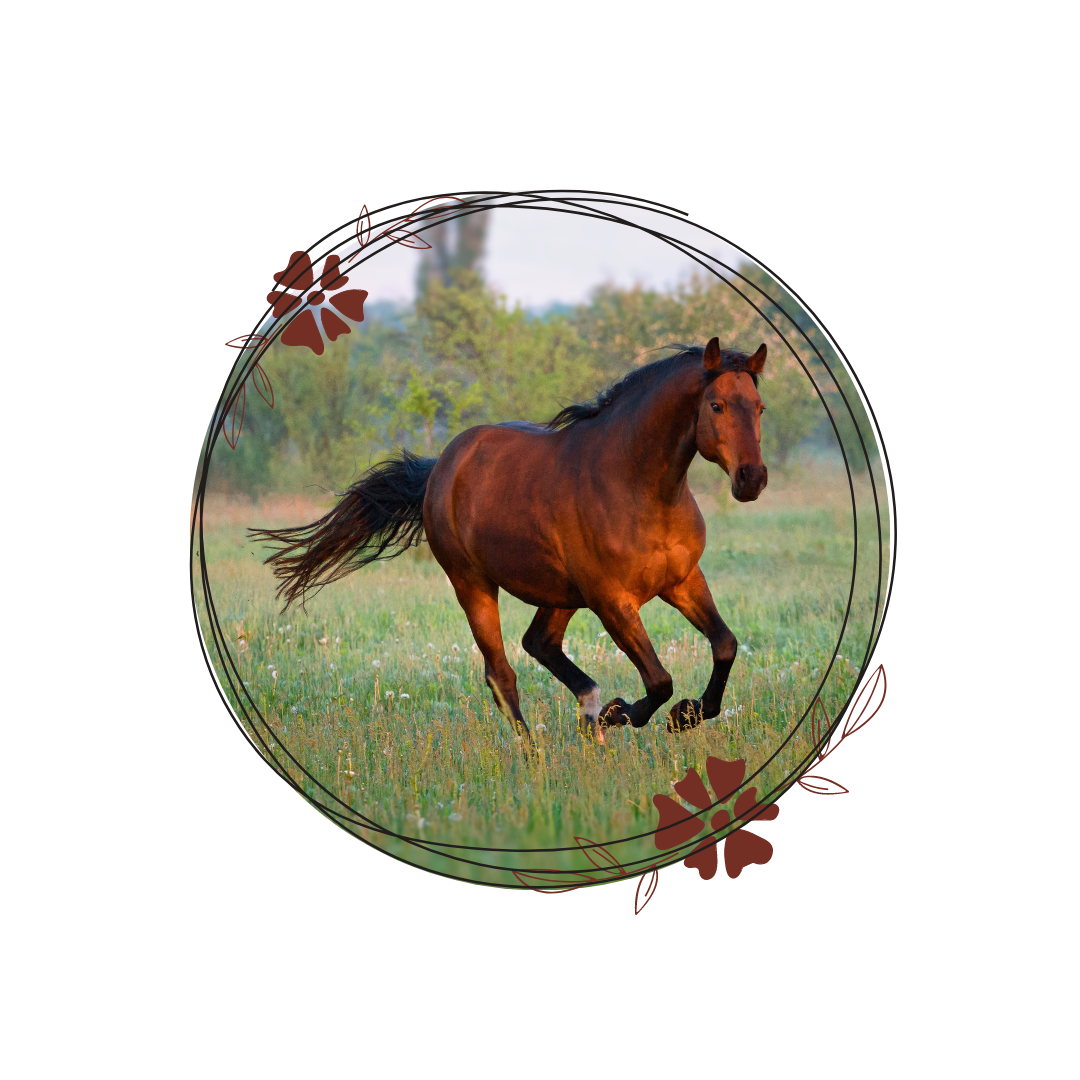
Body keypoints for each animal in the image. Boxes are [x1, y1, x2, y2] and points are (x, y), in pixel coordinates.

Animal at [252, 337, 768, 745]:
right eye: (717, 406)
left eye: (760, 408)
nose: (752, 479)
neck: (638, 487)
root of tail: (442, 465)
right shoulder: (613, 601)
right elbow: (659, 681)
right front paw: (626, 713)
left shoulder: (682, 581)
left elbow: (725, 645)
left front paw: (684, 715)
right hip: (474, 585)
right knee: (501, 673)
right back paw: (539, 751)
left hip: (562, 594)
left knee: (538, 643)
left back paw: (589, 712)